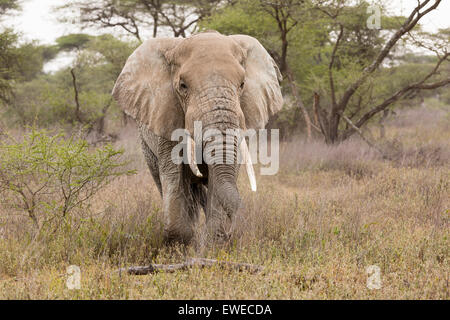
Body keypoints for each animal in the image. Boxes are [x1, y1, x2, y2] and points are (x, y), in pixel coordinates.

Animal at [111, 30, 282, 245]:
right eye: (183, 86)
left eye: (242, 84)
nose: (235, 228)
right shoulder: (168, 115)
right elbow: (175, 177)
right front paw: (182, 245)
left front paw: (212, 242)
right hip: (146, 146)